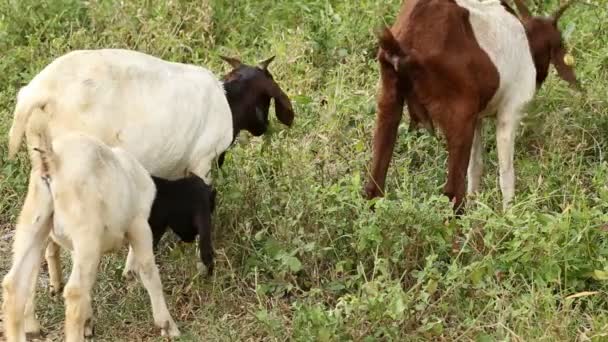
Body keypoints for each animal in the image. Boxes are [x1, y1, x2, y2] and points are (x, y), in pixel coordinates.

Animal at [2, 110, 179, 342]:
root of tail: (52, 160)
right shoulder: (138, 224)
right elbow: (149, 271)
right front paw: (167, 324)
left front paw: (88, 321)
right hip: (85, 230)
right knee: (75, 291)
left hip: (33, 222)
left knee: (15, 283)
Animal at [364, 0, 580, 212]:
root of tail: (405, 46)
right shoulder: (510, 112)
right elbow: (506, 173)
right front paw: (509, 214)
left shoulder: (477, 118)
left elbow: (475, 166)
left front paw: (475, 202)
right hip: (459, 116)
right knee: (452, 191)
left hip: (389, 100)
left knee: (374, 184)